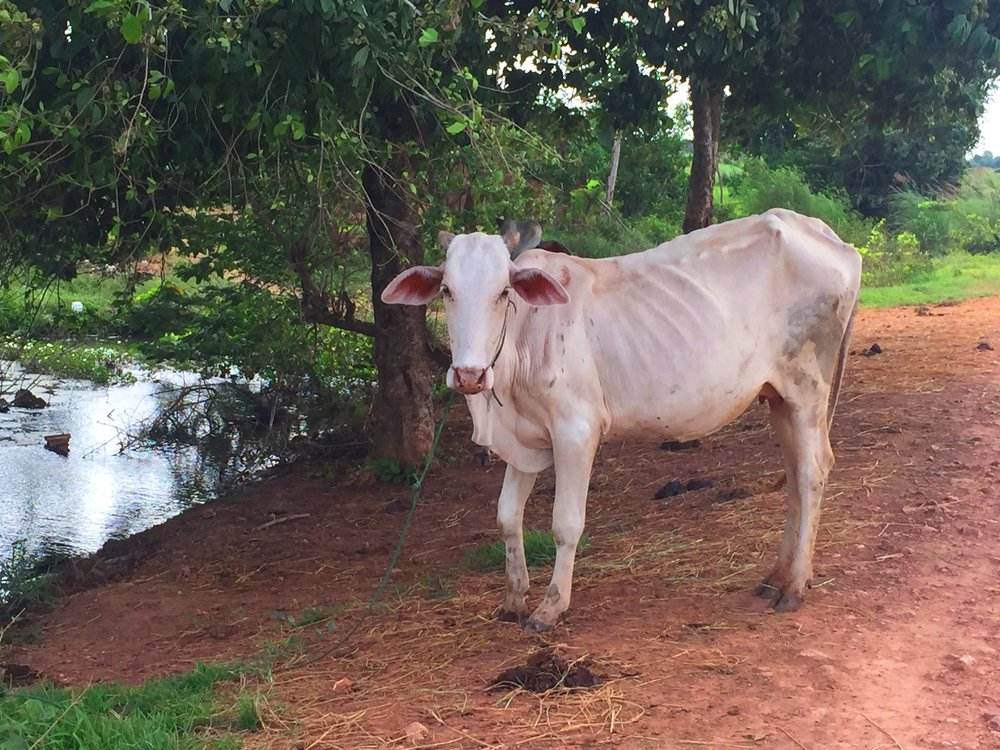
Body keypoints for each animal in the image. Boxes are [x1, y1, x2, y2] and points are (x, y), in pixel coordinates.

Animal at [378, 207, 864, 636]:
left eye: (503, 292)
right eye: (446, 291)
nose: (469, 374)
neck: (524, 339)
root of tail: (835, 241)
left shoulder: (576, 432)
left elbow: (565, 524)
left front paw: (550, 607)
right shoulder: (527, 438)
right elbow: (507, 516)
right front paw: (514, 598)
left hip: (807, 390)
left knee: (812, 471)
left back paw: (795, 586)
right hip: (778, 397)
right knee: (794, 475)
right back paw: (776, 576)